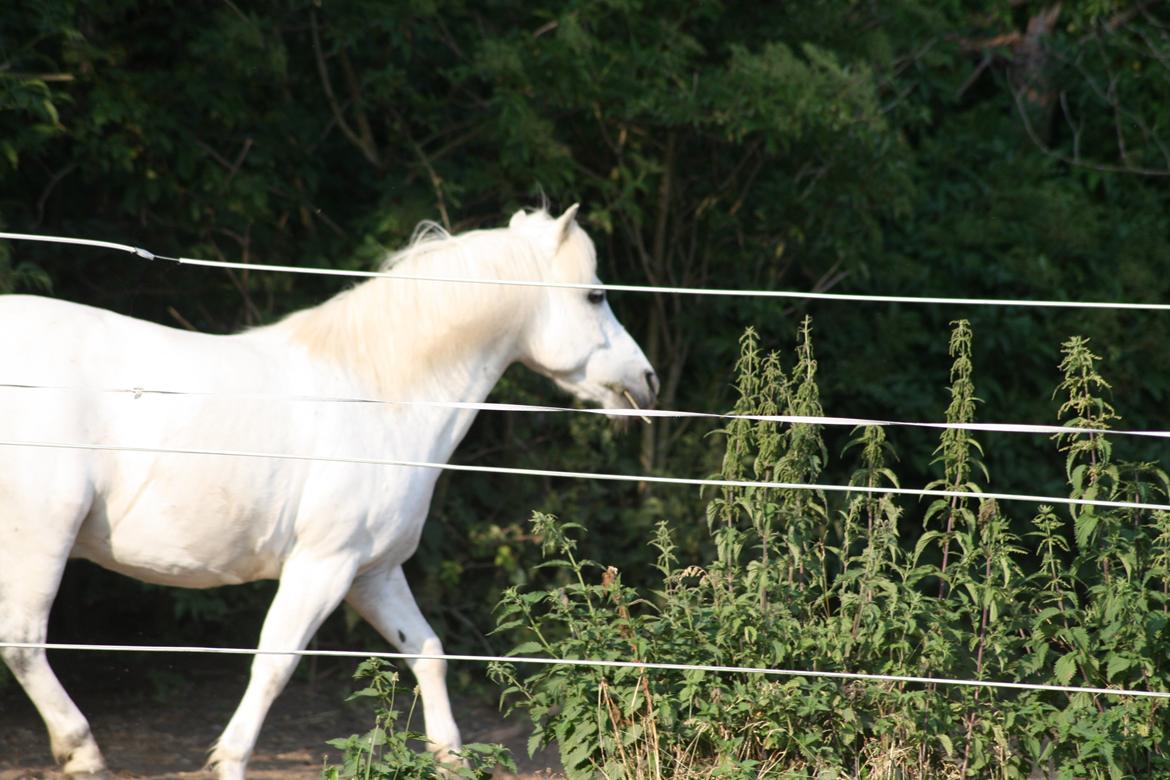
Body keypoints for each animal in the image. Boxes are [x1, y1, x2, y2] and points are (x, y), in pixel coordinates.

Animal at [0, 206, 655, 780]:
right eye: (595, 295)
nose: (645, 382)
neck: (380, 396)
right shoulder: (323, 566)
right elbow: (274, 664)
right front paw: (228, 761)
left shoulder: (373, 573)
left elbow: (428, 651)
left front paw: (451, 758)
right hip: (42, 537)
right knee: (23, 641)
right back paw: (82, 753)